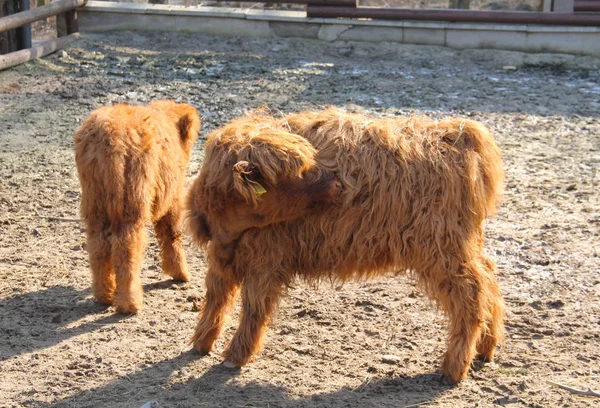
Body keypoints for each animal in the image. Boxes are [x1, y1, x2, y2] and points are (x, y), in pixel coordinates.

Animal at [75, 100, 200, 314]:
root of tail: (109, 136)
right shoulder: (173, 196)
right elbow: (173, 233)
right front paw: (181, 273)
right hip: (133, 197)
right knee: (127, 246)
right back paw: (130, 303)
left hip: (95, 200)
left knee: (98, 245)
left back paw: (104, 295)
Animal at [188, 107, 506, 382]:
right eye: (295, 175)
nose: (335, 184)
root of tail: (455, 133)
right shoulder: (224, 255)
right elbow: (216, 295)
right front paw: (201, 342)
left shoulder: (266, 258)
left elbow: (254, 306)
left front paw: (235, 355)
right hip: (464, 245)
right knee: (489, 280)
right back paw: (485, 348)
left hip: (442, 249)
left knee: (471, 294)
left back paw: (453, 368)